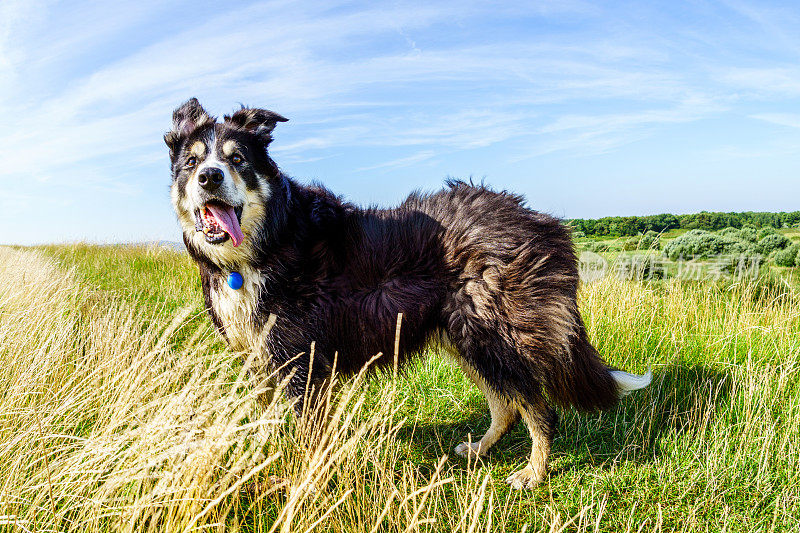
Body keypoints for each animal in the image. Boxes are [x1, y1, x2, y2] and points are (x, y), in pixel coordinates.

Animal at [164, 97, 648, 488]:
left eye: (238, 159)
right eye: (191, 163)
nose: (209, 177)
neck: (265, 243)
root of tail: (539, 221)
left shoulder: (304, 364)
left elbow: (307, 438)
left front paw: (302, 481)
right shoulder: (263, 359)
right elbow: (267, 423)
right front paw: (261, 460)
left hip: (496, 335)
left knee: (539, 411)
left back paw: (533, 473)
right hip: (464, 336)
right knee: (506, 405)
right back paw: (479, 450)